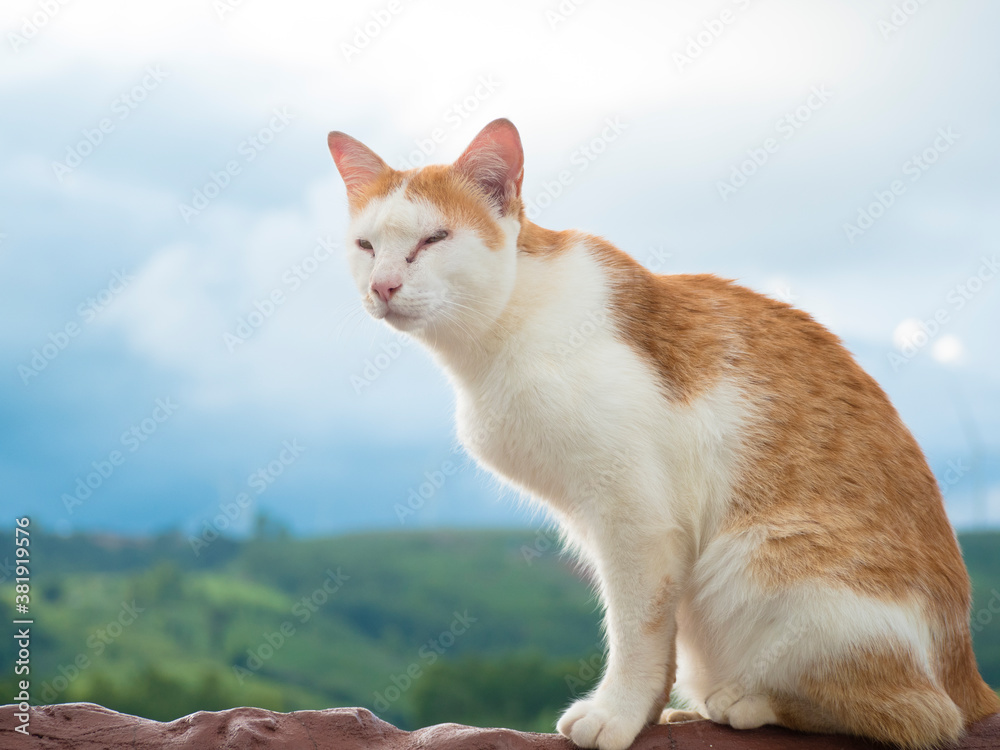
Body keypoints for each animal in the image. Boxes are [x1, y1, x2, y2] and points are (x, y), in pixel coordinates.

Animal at [324, 119, 996, 750]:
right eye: (366, 245)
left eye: (433, 240)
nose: (382, 285)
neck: (500, 330)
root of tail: (968, 677)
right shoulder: (600, 522)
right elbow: (649, 632)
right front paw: (647, 712)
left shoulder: (634, 516)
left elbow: (635, 628)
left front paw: (618, 712)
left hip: (753, 560)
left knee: (917, 715)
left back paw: (744, 701)